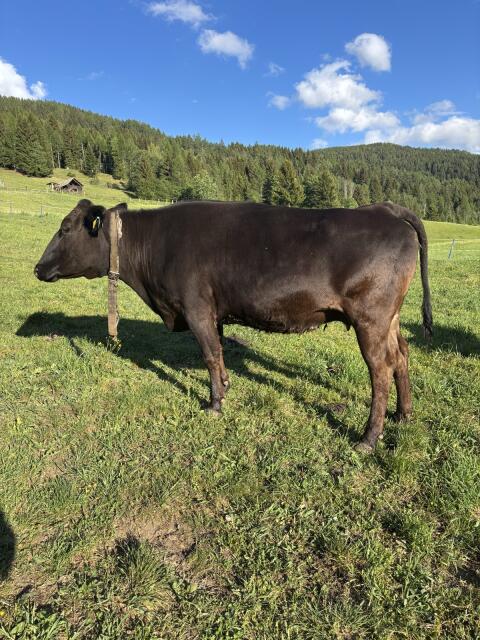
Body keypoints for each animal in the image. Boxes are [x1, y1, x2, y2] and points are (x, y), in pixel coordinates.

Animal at [35, 199, 432, 453]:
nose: (37, 268)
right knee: (401, 356)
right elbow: (220, 352)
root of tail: (381, 209)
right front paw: (224, 388)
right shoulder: (214, 312)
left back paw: (369, 438)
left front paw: (214, 404)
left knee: (380, 369)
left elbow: (210, 354)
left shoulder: (195, 308)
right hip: (390, 319)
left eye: (65, 229)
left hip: (371, 318)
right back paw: (403, 415)